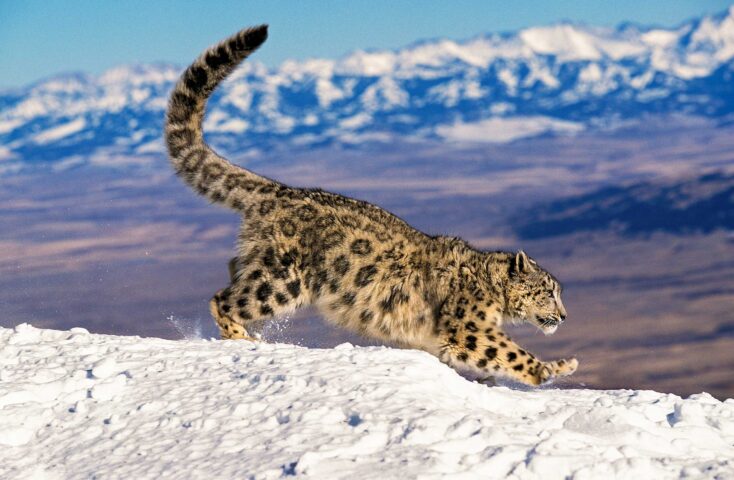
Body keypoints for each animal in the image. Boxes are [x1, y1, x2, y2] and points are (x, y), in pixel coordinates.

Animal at [164, 25, 578, 386]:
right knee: (224, 300)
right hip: (282, 280)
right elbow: (508, 351)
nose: (563, 315)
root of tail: (279, 190)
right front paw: (553, 368)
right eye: (548, 291)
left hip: (264, 267)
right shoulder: (467, 327)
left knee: (234, 273)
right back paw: (244, 338)